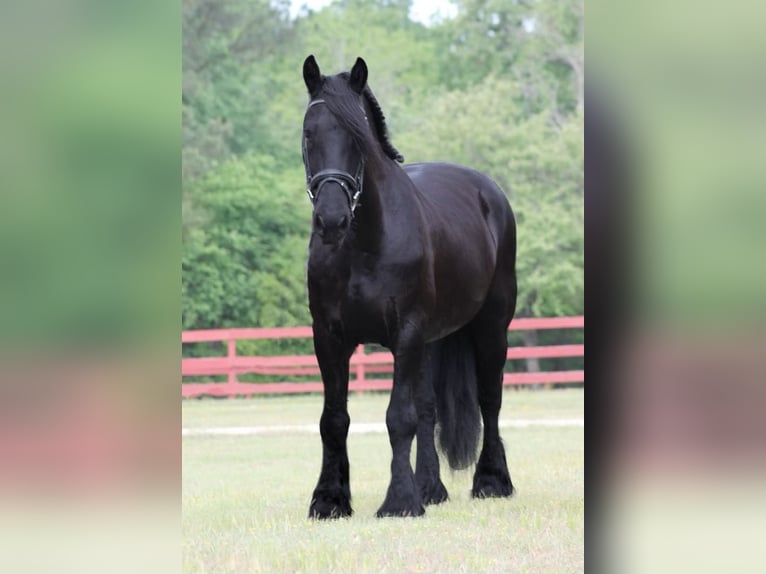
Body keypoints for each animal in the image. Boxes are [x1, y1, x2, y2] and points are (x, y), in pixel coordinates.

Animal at [304, 56, 520, 520]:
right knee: (428, 408)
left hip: (491, 327)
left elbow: (397, 417)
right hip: (432, 340)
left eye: (358, 138)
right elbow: (335, 419)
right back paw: (431, 488)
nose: (331, 220)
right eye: (309, 133)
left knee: (489, 399)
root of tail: (489, 192)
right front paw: (330, 500)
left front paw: (399, 501)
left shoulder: (405, 333)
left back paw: (492, 481)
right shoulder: (329, 337)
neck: (364, 242)